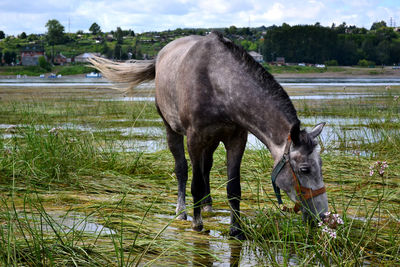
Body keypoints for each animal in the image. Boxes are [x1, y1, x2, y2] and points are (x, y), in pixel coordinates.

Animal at [90, 31, 328, 239]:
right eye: (304, 169)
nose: (324, 216)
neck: (218, 83)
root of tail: (159, 57)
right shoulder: (194, 139)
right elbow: (194, 182)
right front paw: (197, 224)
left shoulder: (236, 140)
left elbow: (233, 187)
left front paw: (235, 230)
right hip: (172, 130)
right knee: (183, 169)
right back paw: (183, 211)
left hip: (212, 141)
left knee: (206, 167)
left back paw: (207, 205)